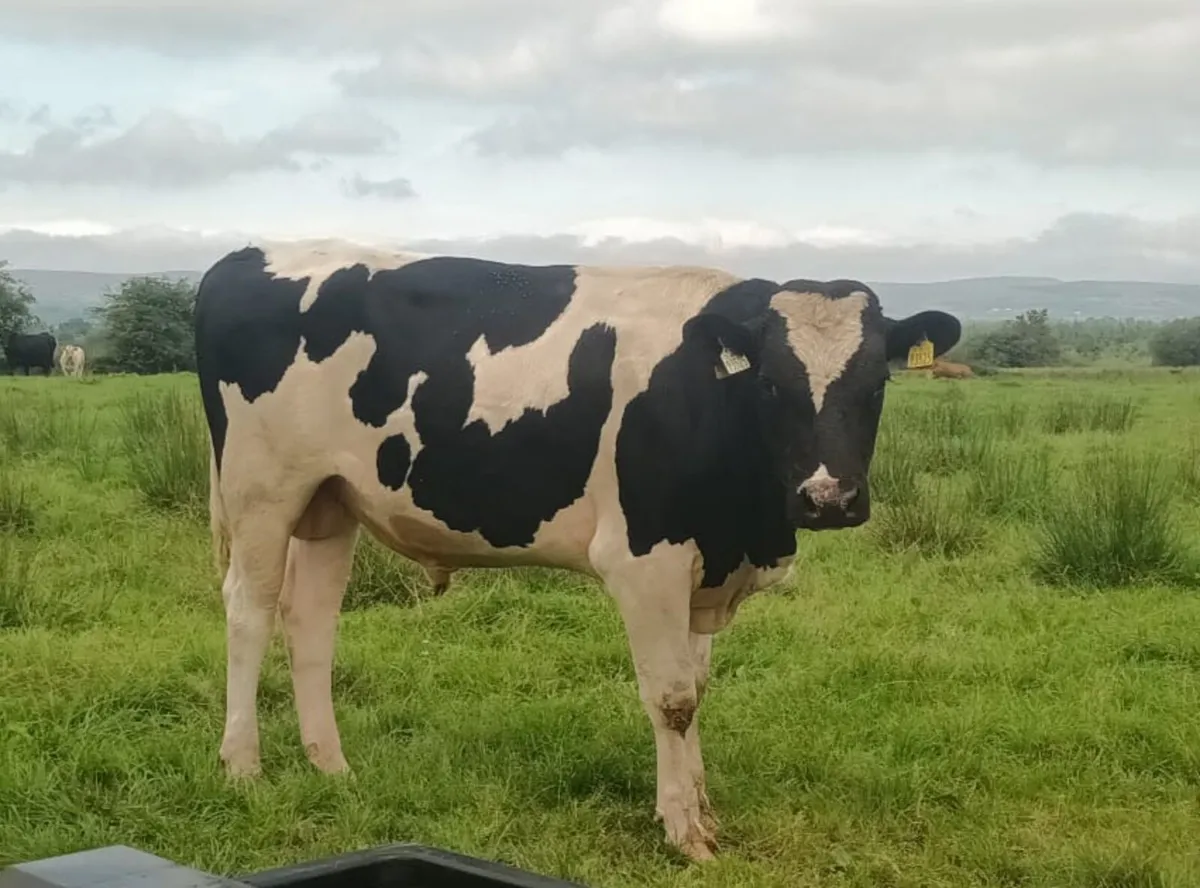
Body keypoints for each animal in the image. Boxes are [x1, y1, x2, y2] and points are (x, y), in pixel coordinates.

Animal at [194, 241, 962, 861]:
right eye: (771, 383)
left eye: (878, 383)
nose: (828, 498)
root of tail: (246, 255)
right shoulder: (645, 560)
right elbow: (672, 698)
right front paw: (684, 830)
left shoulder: (706, 567)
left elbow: (698, 689)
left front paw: (702, 806)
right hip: (262, 490)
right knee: (248, 612)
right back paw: (242, 767)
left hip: (330, 501)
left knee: (309, 621)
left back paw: (330, 765)